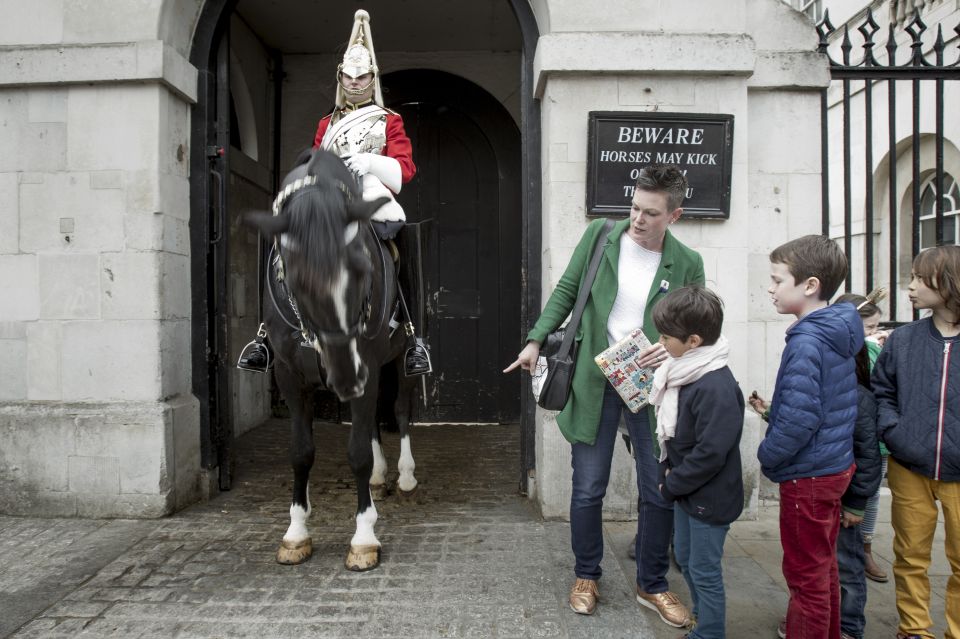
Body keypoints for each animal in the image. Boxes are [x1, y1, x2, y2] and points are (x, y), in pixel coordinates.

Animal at [244, 150, 416, 568]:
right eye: (295, 280)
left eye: (364, 269)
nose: (345, 377)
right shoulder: (290, 375)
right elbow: (301, 452)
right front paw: (296, 533)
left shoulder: (366, 365)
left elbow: (357, 453)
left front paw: (364, 537)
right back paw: (380, 478)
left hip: (398, 358)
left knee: (400, 408)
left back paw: (405, 476)